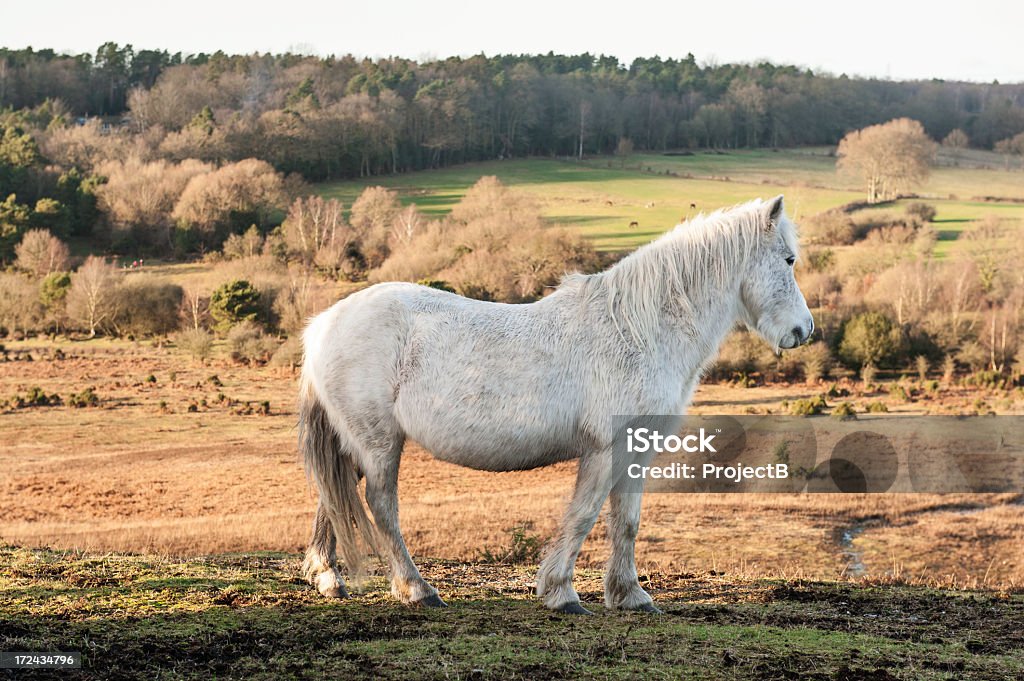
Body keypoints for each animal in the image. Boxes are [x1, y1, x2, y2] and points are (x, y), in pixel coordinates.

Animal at [299, 193, 811, 614]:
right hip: (379, 442)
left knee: (332, 495)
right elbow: (584, 515)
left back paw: (329, 578)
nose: (803, 330)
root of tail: (325, 322)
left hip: (356, 441)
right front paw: (562, 593)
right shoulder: (605, 449)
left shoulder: (636, 448)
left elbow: (626, 521)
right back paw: (417, 589)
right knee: (381, 506)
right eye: (788, 259)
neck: (638, 329)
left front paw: (630, 595)